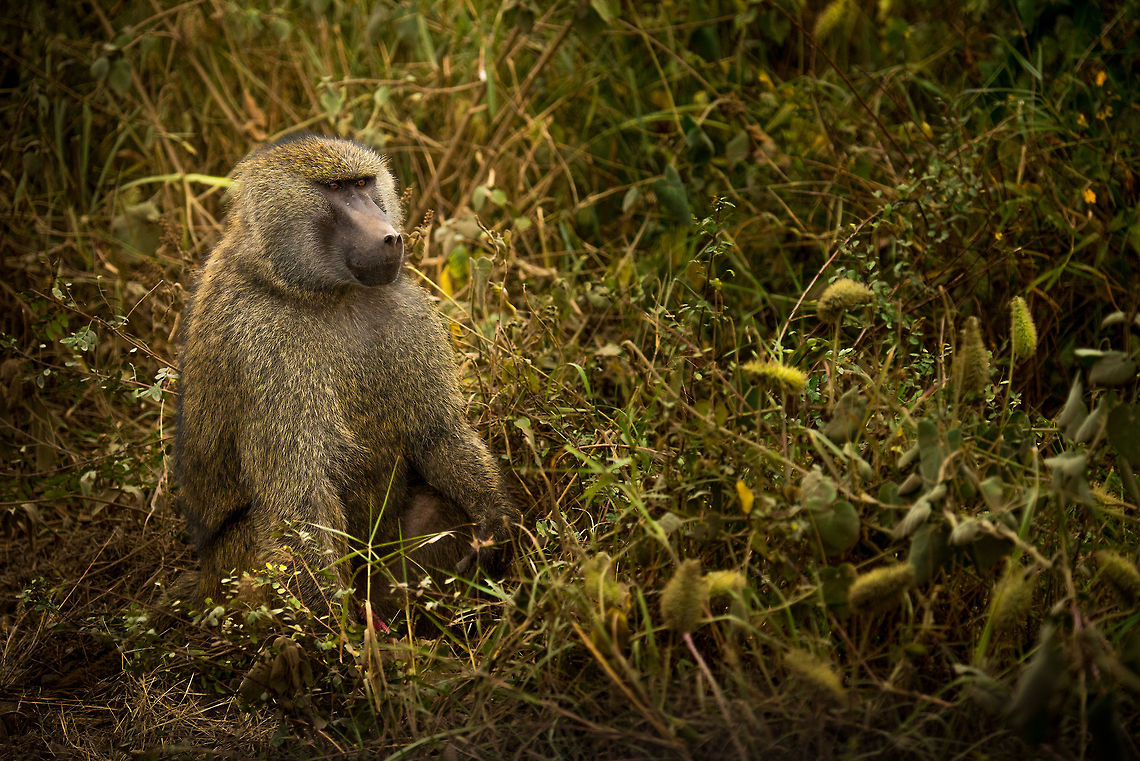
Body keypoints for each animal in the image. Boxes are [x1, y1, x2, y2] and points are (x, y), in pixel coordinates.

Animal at [173, 135, 519, 621]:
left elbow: (439, 434)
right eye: (335, 188)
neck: (319, 291)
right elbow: (298, 501)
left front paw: (495, 524)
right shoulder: (260, 346)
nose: (389, 236)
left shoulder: (408, 309)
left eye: (363, 183)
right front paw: (341, 632)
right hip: (227, 574)